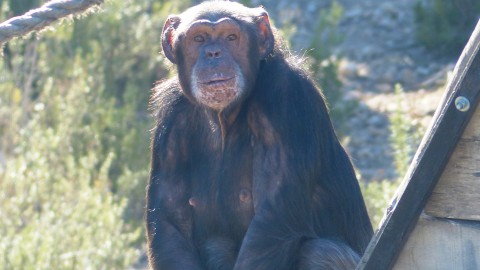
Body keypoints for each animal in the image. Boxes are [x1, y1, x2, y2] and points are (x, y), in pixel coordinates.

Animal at [146, 1, 376, 268]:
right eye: (199, 38)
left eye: (231, 37)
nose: (213, 53)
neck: (226, 117)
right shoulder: (171, 115)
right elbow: (171, 223)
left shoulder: (285, 94)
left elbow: (270, 222)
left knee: (321, 253)